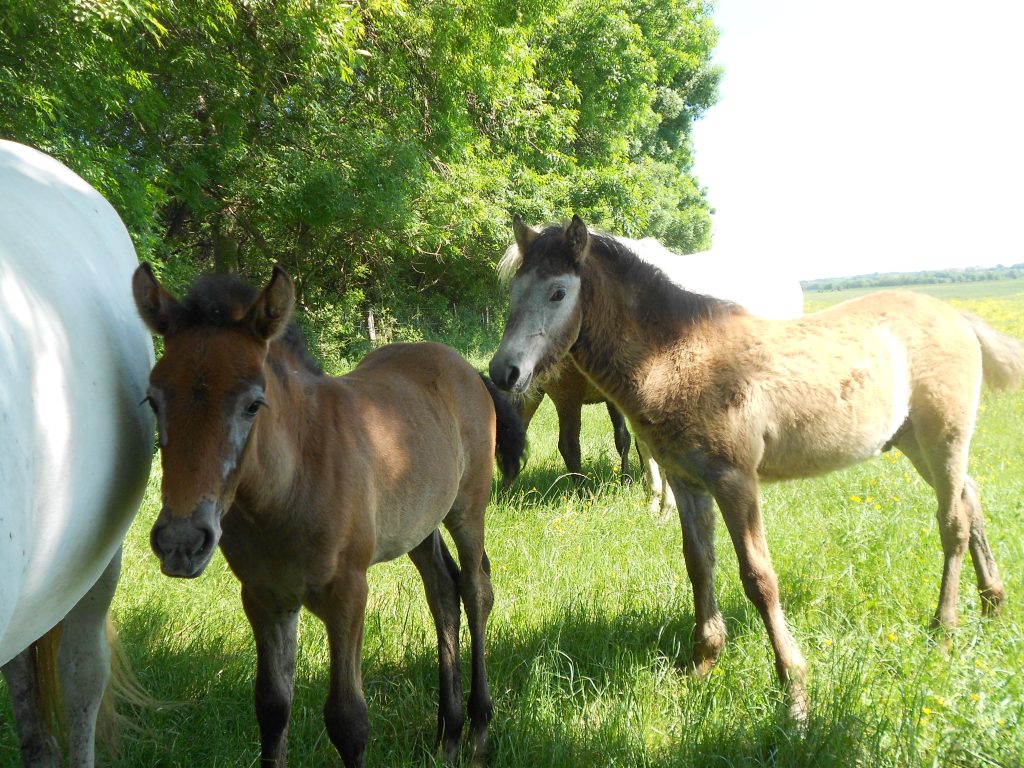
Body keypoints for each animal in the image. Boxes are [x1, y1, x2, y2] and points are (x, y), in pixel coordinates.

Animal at [132, 265, 526, 767]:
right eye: (153, 399)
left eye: (253, 402)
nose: (181, 542)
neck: (288, 489)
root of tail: (465, 368)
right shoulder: (265, 598)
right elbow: (272, 707)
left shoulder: (348, 595)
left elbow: (348, 721)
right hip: (420, 527)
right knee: (443, 593)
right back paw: (449, 733)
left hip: (468, 508)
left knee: (476, 590)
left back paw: (477, 728)